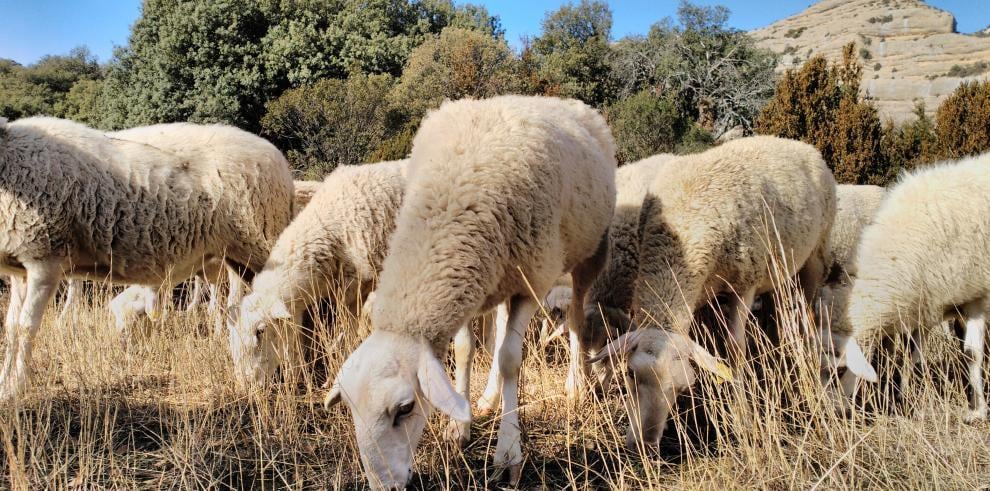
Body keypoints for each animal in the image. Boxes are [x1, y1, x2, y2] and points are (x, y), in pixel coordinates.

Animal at [0, 117, 294, 402]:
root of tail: (278, 160)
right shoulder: (20, 270)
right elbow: (11, 327)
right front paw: (4, 387)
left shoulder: (44, 262)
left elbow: (26, 328)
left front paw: (16, 390)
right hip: (239, 257)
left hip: (265, 241)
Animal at [326, 94, 620, 490]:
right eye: (351, 409)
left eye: (404, 409)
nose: (384, 486)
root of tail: (551, 99)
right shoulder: (470, 282)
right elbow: (465, 350)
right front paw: (459, 427)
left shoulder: (533, 280)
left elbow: (511, 359)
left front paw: (508, 453)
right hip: (503, 275)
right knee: (502, 324)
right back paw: (489, 396)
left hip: (588, 251)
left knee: (574, 315)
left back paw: (576, 384)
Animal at [592, 136, 840, 452]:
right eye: (630, 374)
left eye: (682, 388)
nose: (645, 445)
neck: (685, 225)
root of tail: (797, 144)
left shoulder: (745, 285)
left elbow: (735, 350)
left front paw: (742, 412)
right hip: (780, 269)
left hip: (815, 256)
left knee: (807, 314)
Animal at [840, 154, 990, 422]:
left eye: (838, 371)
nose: (833, 410)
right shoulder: (927, 302)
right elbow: (914, 356)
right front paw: (906, 397)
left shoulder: (975, 298)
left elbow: (971, 353)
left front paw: (978, 410)